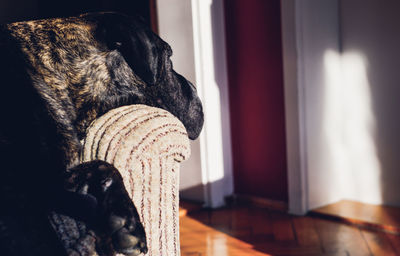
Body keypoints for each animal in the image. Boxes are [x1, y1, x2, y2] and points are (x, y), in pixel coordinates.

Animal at [0, 12, 203, 256]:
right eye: (169, 58)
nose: (196, 91)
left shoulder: (54, 178)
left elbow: (101, 165)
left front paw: (123, 217)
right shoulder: (22, 190)